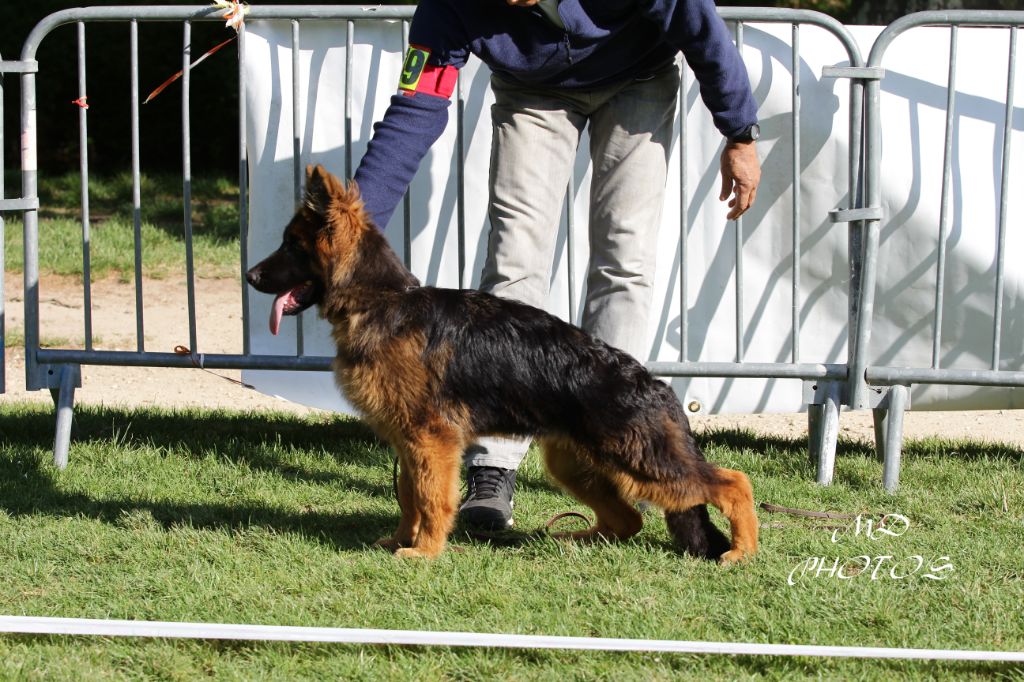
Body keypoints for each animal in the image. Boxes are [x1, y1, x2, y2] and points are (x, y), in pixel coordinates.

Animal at [246, 165, 757, 561]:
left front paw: (424, 551)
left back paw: (743, 552)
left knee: (733, 482)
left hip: (644, 461)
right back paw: (576, 539)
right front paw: (399, 541)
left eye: (291, 246)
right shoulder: (410, 444)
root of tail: (655, 385)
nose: (250, 276)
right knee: (628, 519)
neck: (383, 300)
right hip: (576, 463)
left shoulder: (431, 441)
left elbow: (432, 500)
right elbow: (410, 498)